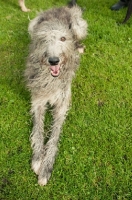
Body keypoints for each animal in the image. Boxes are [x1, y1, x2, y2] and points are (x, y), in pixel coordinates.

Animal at [24, 3, 87, 185]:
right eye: (44, 39)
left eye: (63, 39)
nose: (53, 61)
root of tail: (60, 7)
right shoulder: (38, 101)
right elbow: (38, 130)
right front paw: (38, 159)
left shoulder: (62, 105)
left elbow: (54, 136)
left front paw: (46, 167)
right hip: (32, 24)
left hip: (79, 26)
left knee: (79, 36)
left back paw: (79, 47)